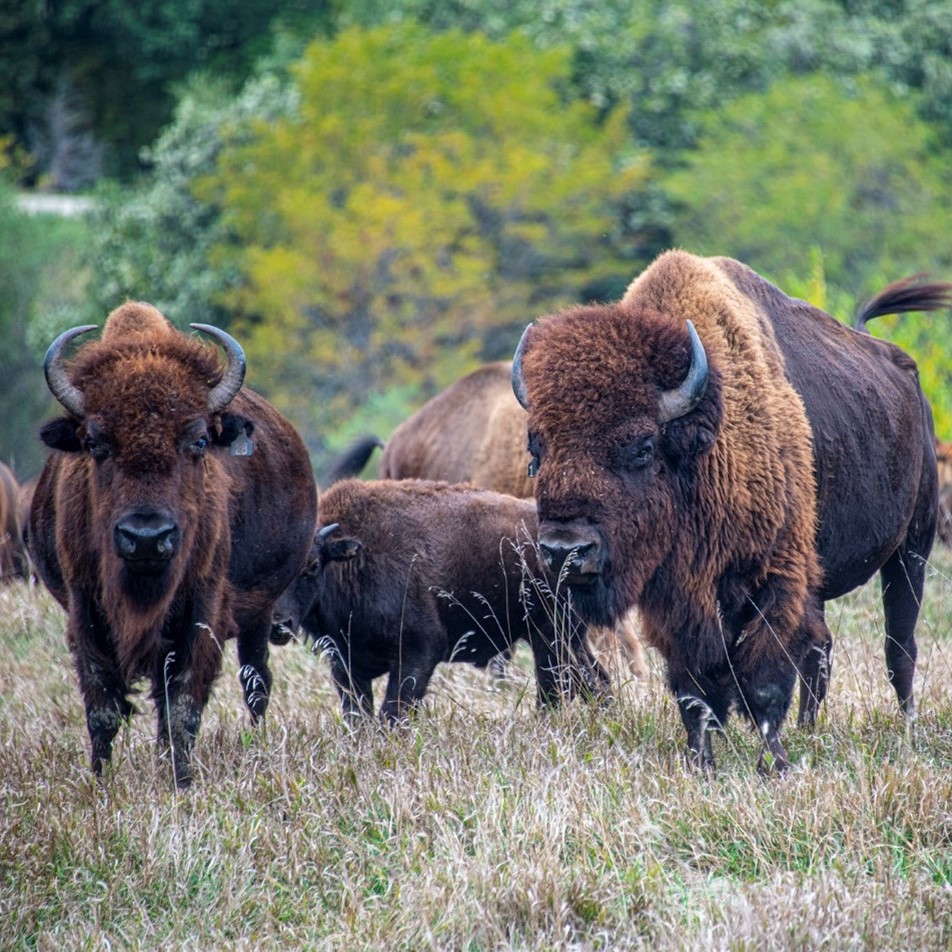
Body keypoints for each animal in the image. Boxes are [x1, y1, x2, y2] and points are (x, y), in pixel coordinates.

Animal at [28, 304, 316, 788]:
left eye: (198, 440)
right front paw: (101, 783)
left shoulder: (201, 609)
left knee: (255, 681)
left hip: (260, 613)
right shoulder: (85, 609)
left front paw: (181, 782)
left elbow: (182, 704)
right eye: (94, 443)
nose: (147, 537)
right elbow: (102, 709)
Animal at [272, 480, 608, 716]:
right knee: (594, 680)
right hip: (569, 637)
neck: (352, 562)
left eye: (312, 566)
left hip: (548, 635)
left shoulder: (418, 653)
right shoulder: (346, 667)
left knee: (556, 691)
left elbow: (392, 714)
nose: (277, 623)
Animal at [512, 251, 952, 772]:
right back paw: (809, 730)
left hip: (912, 547)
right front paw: (701, 761)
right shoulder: (677, 600)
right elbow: (693, 687)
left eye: (641, 448)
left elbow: (764, 678)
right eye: (536, 449)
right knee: (821, 647)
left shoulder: (775, 576)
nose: (564, 551)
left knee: (899, 646)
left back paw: (906, 727)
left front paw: (773, 765)